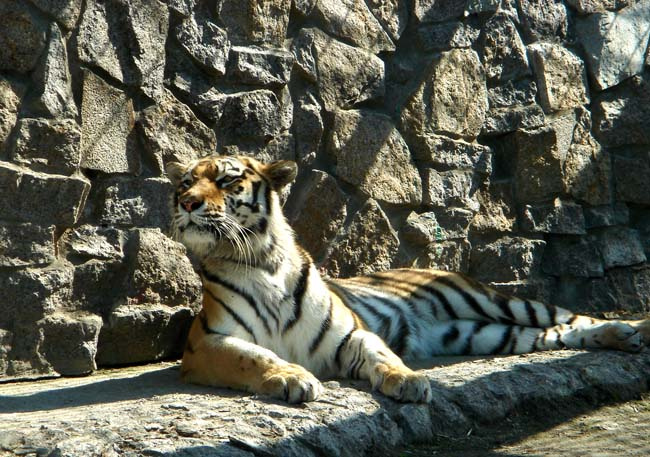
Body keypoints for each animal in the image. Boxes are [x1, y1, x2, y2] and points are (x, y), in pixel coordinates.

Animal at [166, 155, 650, 404]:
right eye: (186, 183)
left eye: (226, 181)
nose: (187, 203)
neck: (261, 261)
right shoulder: (208, 342)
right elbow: (255, 357)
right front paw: (292, 377)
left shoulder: (350, 334)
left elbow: (382, 355)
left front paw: (410, 381)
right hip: (486, 334)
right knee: (555, 334)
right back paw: (622, 338)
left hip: (497, 301)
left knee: (572, 317)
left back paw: (630, 329)